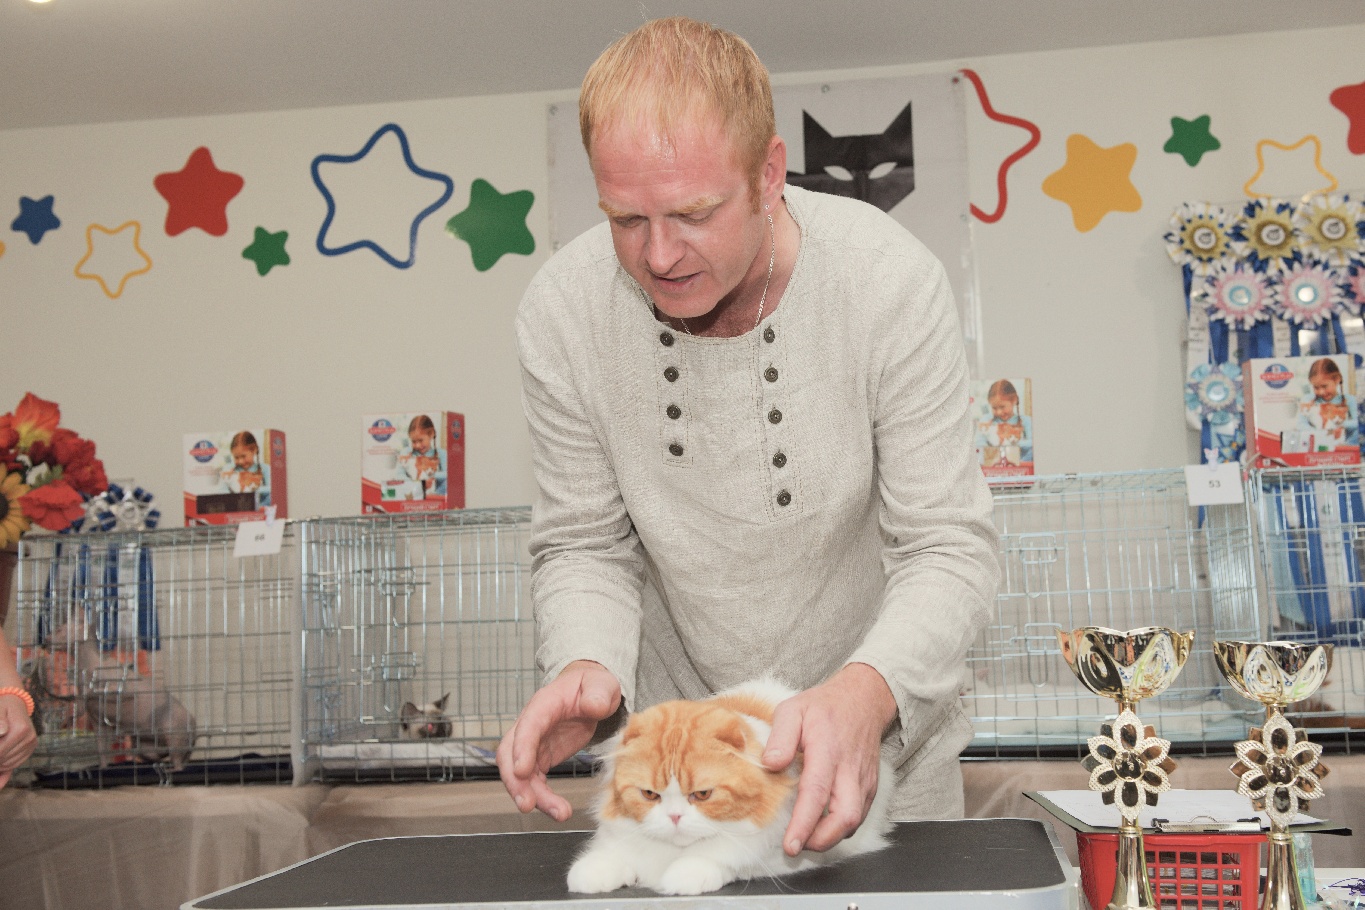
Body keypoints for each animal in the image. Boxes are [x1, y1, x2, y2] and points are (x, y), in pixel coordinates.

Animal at [566, 678, 893, 896]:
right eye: (650, 795)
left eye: (702, 794)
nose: (674, 817)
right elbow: (615, 855)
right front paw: (593, 871)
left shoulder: (785, 853)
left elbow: (721, 858)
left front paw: (684, 875)